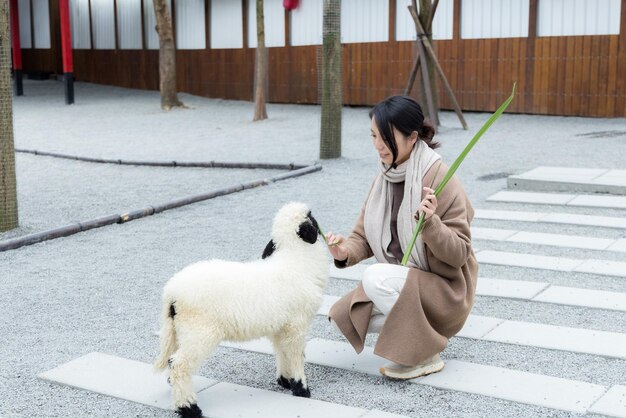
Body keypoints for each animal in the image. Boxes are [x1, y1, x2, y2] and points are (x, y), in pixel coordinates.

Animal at [154, 201, 330, 416]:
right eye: (311, 216)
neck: (296, 260)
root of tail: (171, 292)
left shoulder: (280, 327)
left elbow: (282, 352)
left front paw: (286, 381)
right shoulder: (296, 325)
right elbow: (297, 355)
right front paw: (301, 388)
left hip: (180, 331)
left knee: (172, 361)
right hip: (199, 332)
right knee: (180, 365)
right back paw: (189, 407)